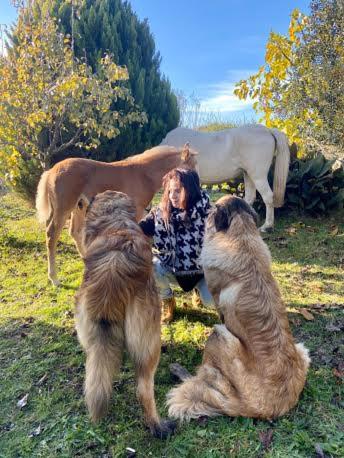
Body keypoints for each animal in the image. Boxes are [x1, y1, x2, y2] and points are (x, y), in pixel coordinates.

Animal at [36, 145, 198, 284]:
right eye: (191, 166)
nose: (196, 185)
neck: (145, 175)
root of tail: (51, 171)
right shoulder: (138, 210)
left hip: (78, 207)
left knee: (74, 232)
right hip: (63, 209)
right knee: (51, 235)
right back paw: (54, 278)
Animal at [161, 124, 290, 231]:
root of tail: (267, 130)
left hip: (258, 176)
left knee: (268, 197)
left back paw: (267, 226)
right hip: (248, 175)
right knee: (249, 198)